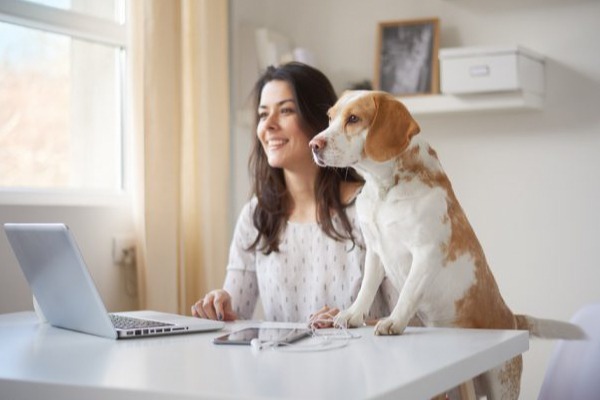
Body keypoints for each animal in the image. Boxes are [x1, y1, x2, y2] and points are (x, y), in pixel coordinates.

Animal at [310, 90, 580, 400]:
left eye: (354, 118)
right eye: (330, 117)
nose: (313, 145)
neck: (384, 189)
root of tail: (512, 318)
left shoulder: (426, 252)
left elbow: (407, 294)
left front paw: (393, 322)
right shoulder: (376, 251)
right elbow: (366, 290)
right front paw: (353, 315)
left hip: (502, 386)